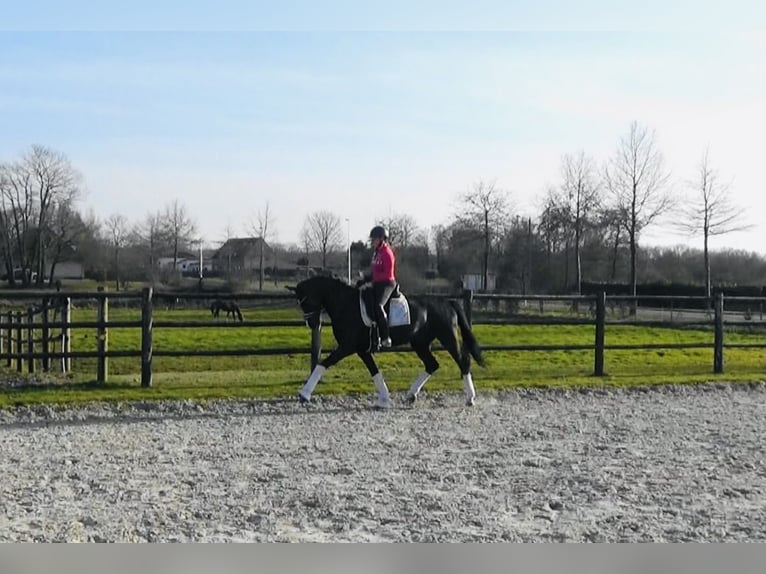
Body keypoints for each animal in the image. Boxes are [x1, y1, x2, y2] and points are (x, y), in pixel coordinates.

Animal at [288, 276, 486, 408]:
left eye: (305, 301)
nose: (313, 324)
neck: (346, 305)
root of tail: (447, 301)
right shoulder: (361, 349)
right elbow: (374, 371)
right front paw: (384, 398)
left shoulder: (347, 347)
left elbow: (323, 364)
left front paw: (304, 394)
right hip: (420, 343)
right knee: (432, 364)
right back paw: (410, 395)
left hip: (447, 337)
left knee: (463, 360)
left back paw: (470, 398)